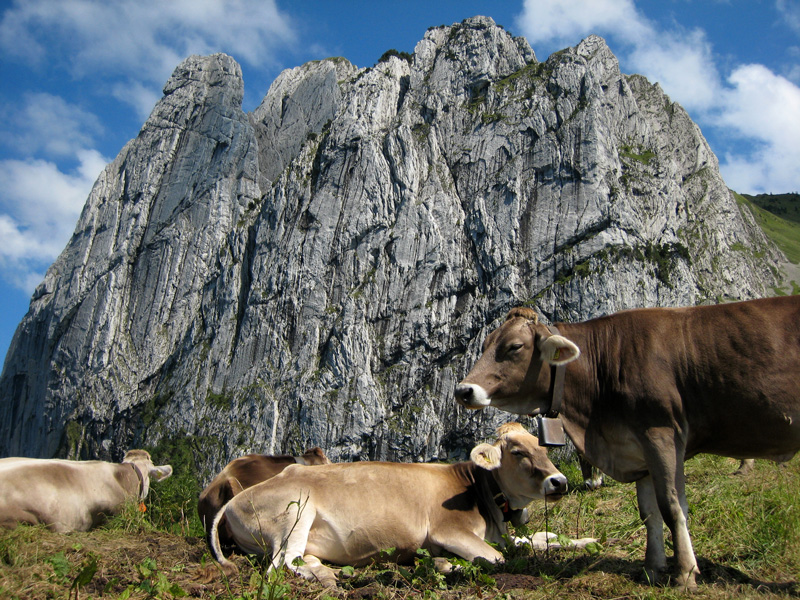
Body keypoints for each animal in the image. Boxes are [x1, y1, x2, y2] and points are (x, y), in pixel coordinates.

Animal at [456, 298, 800, 588]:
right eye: (485, 344)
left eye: (514, 346)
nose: (463, 390)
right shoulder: (638, 449)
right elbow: (649, 513)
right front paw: (652, 568)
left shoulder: (661, 433)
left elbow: (672, 506)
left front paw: (685, 574)